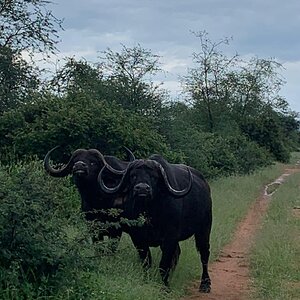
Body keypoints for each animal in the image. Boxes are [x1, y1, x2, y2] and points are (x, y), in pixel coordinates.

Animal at [97, 156, 212, 292]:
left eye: (154, 176)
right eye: (133, 175)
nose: (142, 189)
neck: (151, 213)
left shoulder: (169, 238)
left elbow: (164, 265)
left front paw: (165, 287)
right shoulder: (138, 239)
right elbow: (146, 262)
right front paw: (146, 281)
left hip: (204, 228)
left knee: (204, 254)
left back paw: (205, 284)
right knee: (178, 253)